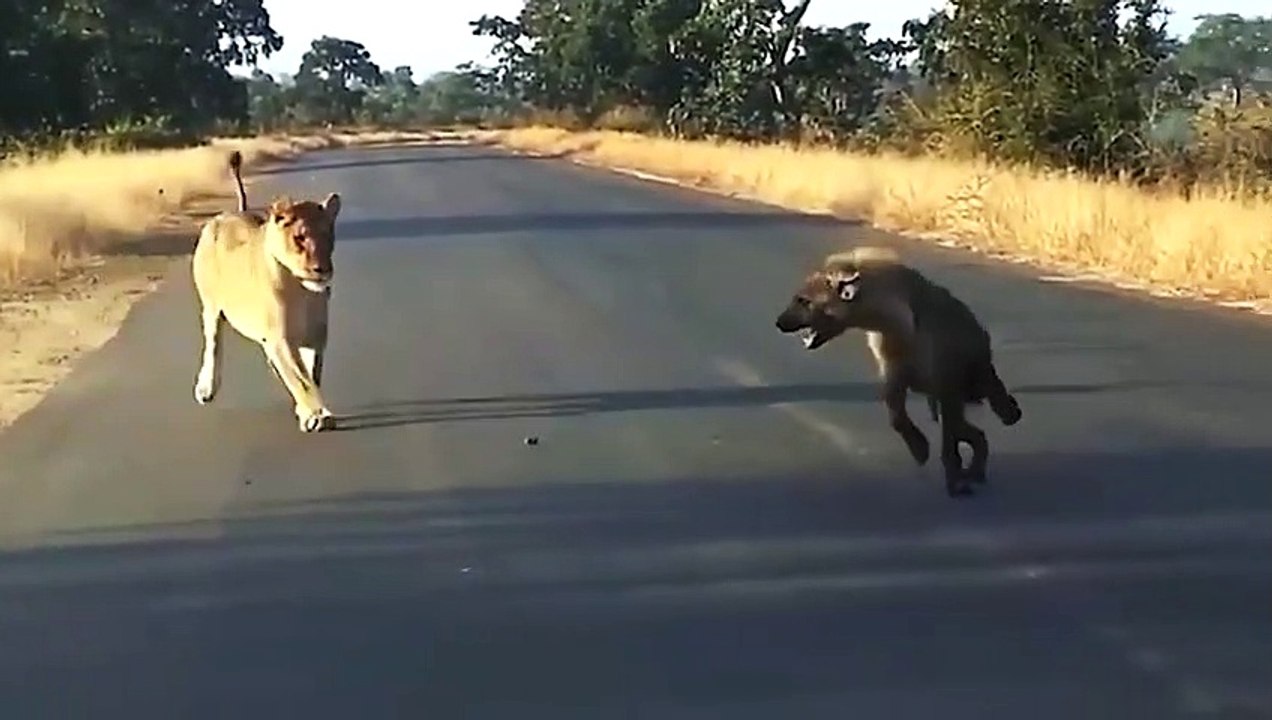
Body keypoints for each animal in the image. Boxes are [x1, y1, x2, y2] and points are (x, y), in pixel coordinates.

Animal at [190, 149, 342, 433]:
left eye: (328, 235)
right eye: (300, 237)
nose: (322, 269)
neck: (301, 290)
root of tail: (231, 213)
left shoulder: (316, 336)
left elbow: (310, 374)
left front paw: (308, 410)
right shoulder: (281, 339)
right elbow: (301, 379)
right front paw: (316, 415)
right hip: (211, 306)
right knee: (213, 343)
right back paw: (206, 388)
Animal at [774, 245, 1022, 497]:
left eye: (803, 301)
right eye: (797, 298)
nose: (779, 322)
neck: (894, 325)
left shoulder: (945, 378)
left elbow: (948, 439)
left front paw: (955, 481)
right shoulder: (894, 369)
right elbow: (896, 413)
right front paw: (921, 449)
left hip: (975, 374)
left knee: (985, 405)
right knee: (972, 431)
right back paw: (974, 469)